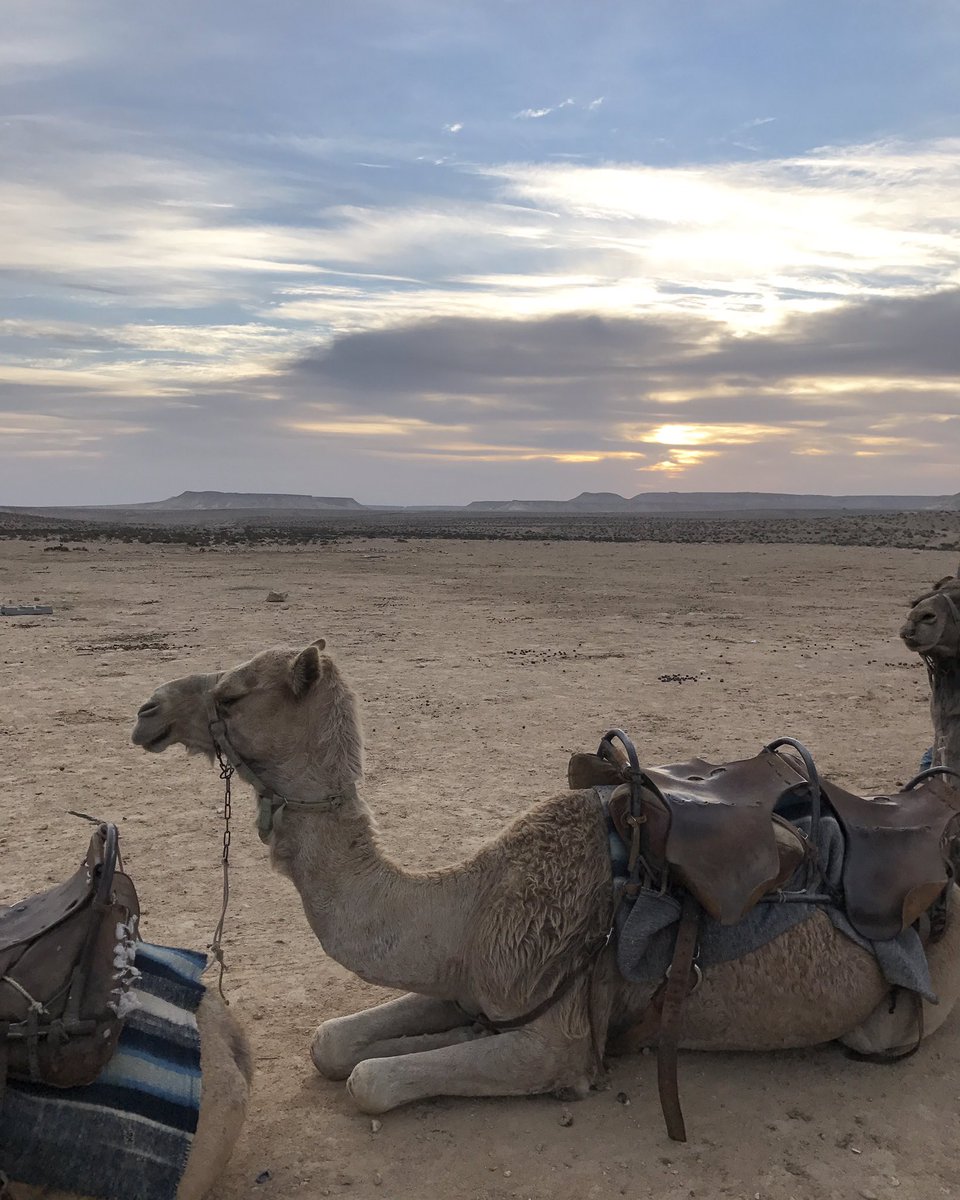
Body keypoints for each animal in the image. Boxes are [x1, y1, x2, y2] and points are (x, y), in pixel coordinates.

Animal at [130, 640, 960, 1119]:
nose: (147, 710)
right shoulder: (471, 973)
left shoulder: (551, 1041)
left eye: (234, 694)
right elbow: (332, 1044)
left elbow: (371, 1079)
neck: (468, 904)